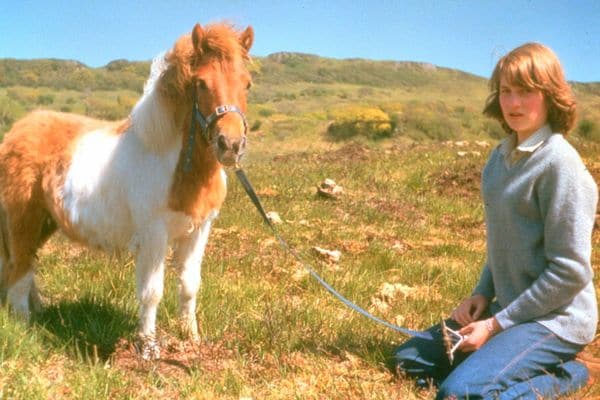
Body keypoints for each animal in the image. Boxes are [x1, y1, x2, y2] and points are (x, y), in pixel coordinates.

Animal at [0, 22, 254, 360]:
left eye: (247, 84)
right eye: (201, 83)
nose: (231, 145)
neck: (170, 160)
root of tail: (15, 133)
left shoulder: (199, 230)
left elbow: (190, 285)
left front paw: (191, 340)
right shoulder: (154, 235)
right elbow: (151, 292)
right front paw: (147, 347)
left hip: (44, 223)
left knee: (24, 271)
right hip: (23, 223)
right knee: (19, 271)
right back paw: (25, 329)